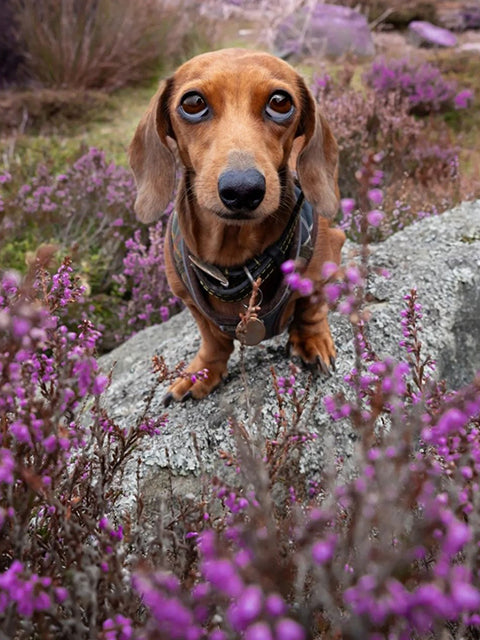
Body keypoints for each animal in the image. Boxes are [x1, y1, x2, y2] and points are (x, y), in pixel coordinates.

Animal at [127, 48, 344, 400]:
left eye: (280, 101)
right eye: (193, 102)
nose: (243, 190)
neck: (235, 260)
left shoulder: (322, 263)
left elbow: (311, 308)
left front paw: (311, 339)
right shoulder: (189, 301)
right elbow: (213, 339)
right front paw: (203, 372)